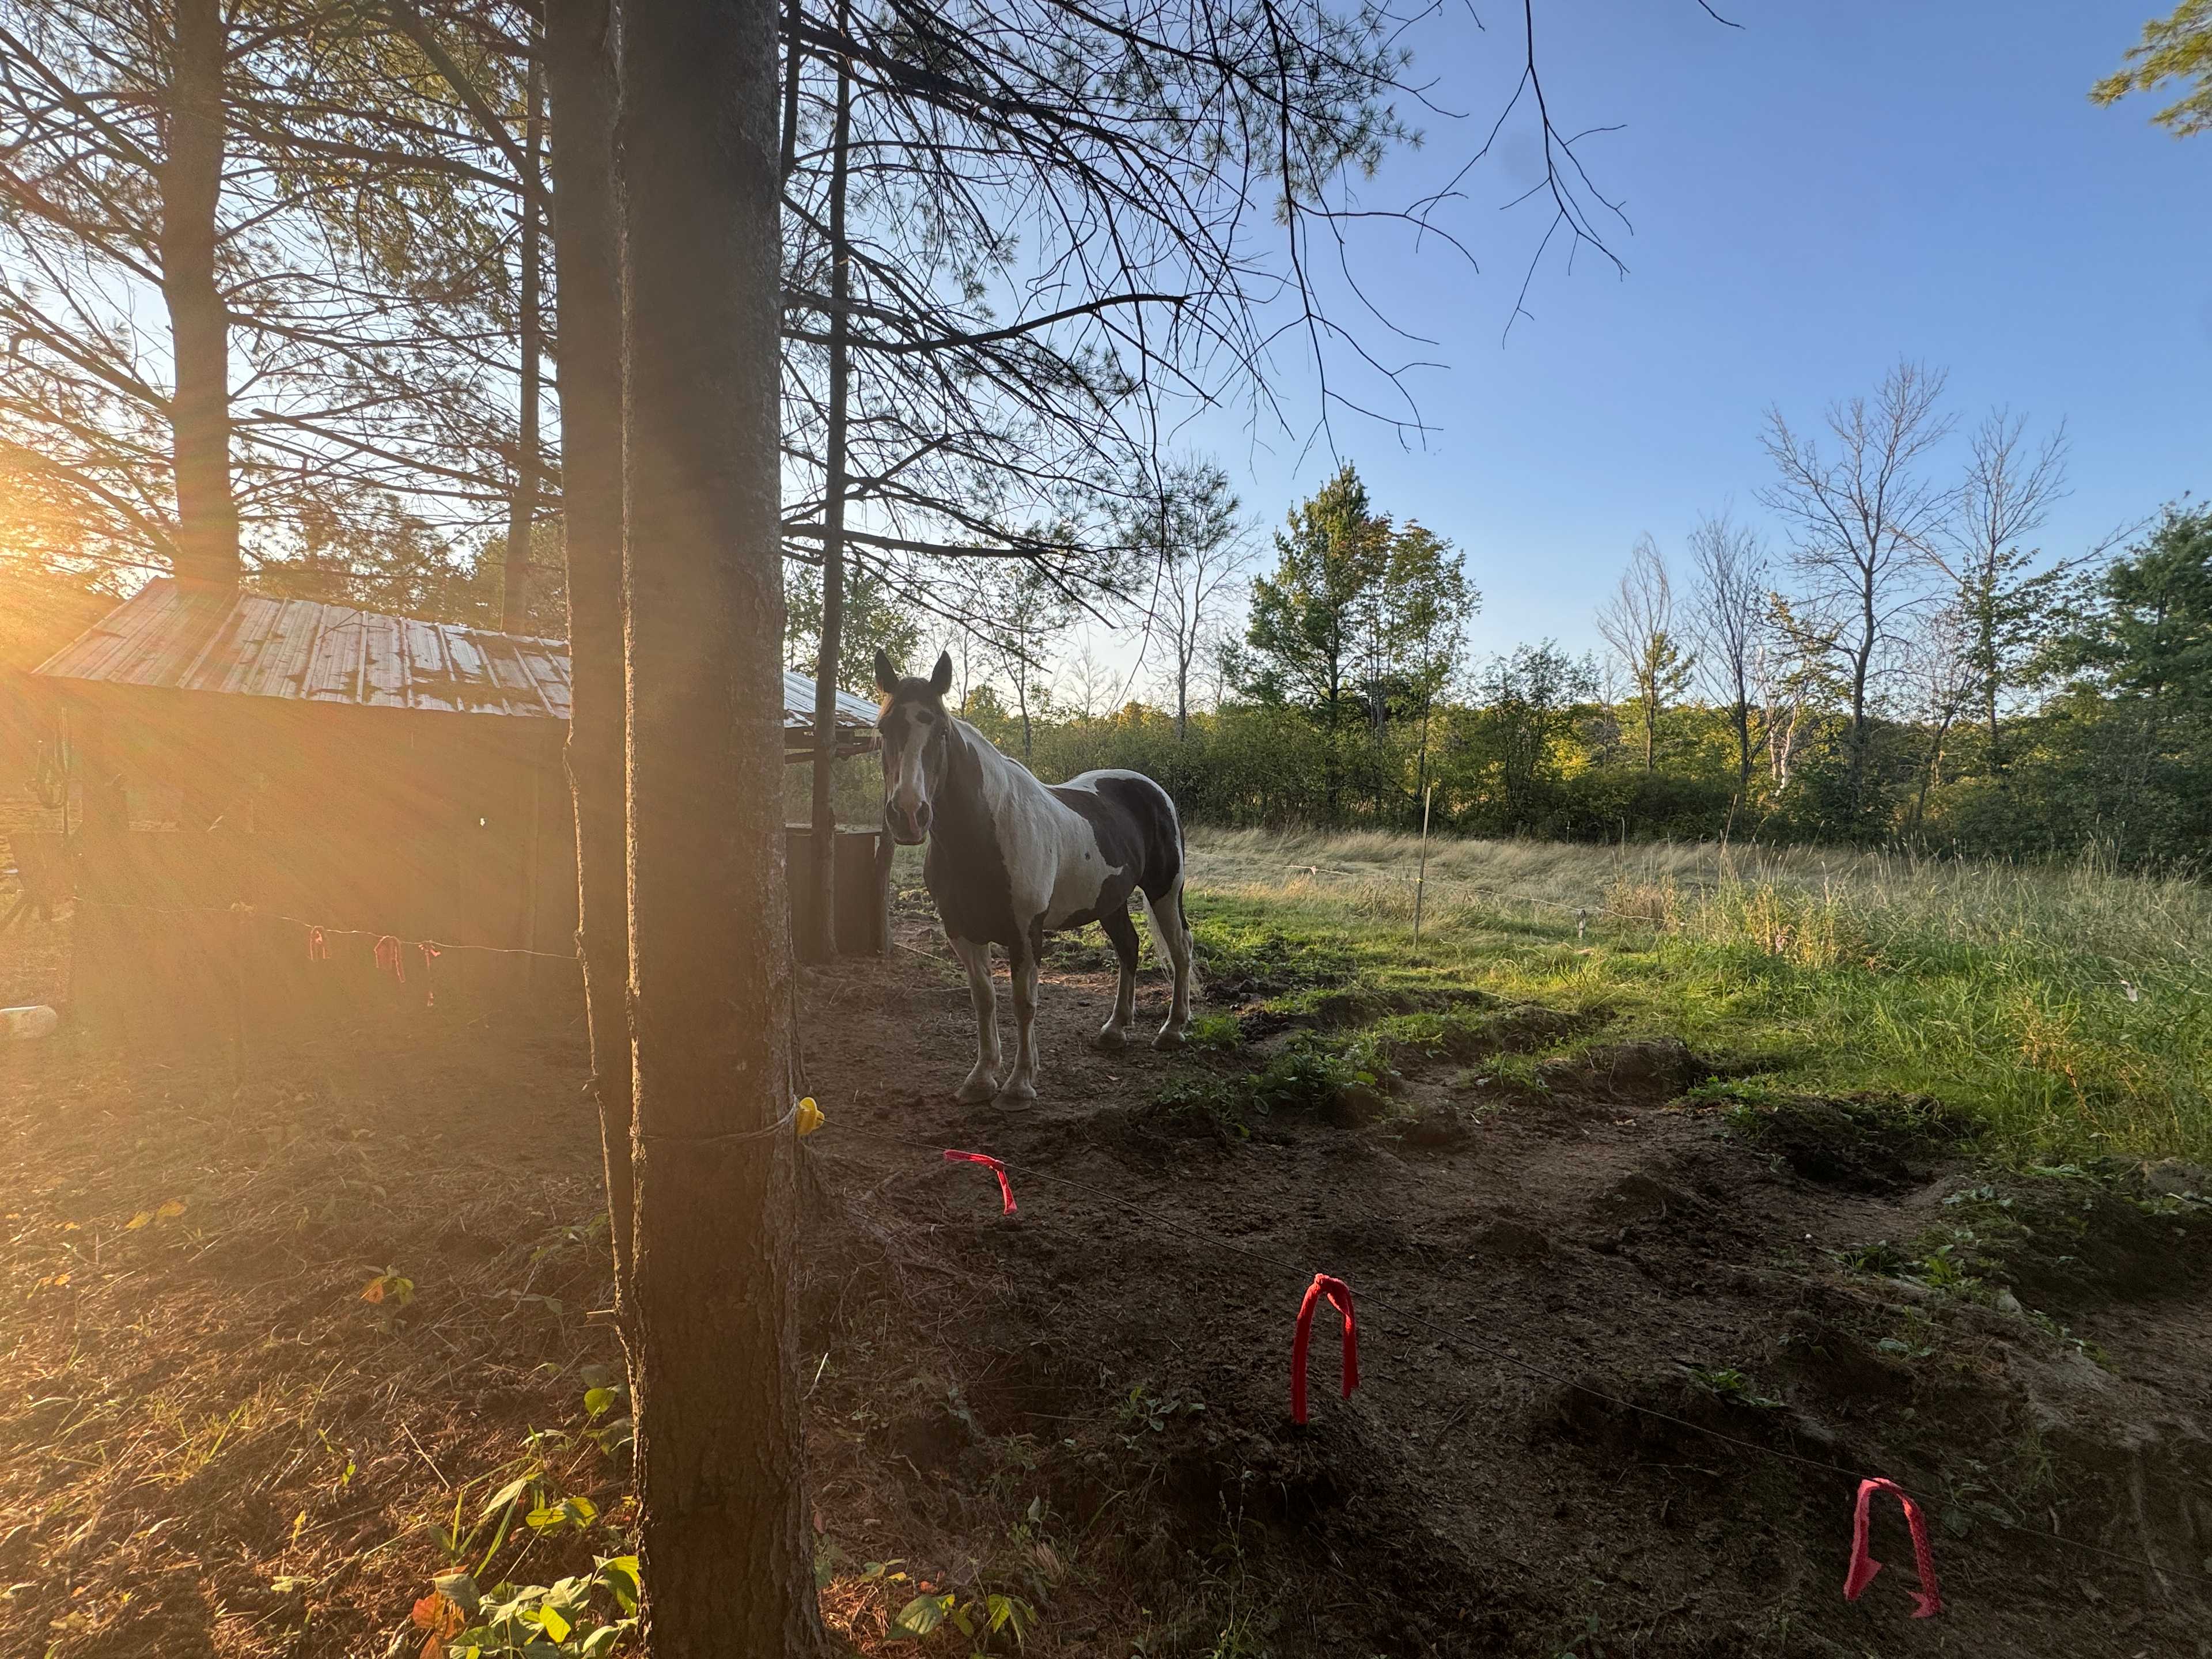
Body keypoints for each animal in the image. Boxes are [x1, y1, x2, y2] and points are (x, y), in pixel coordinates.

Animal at [874, 648, 1195, 1103]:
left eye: (941, 730)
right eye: (884, 729)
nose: (908, 815)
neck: (984, 835)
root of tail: (1152, 789)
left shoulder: (1025, 932)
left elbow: (1023, 1003)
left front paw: (1020, 1084)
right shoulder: (961, 931)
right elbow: (984, 1000)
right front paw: (981, 1078)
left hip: (1165, 891)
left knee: (1181, 948)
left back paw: (1173, 1029)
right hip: (1110, 901)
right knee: (1129, 948)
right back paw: (1115, 1029)